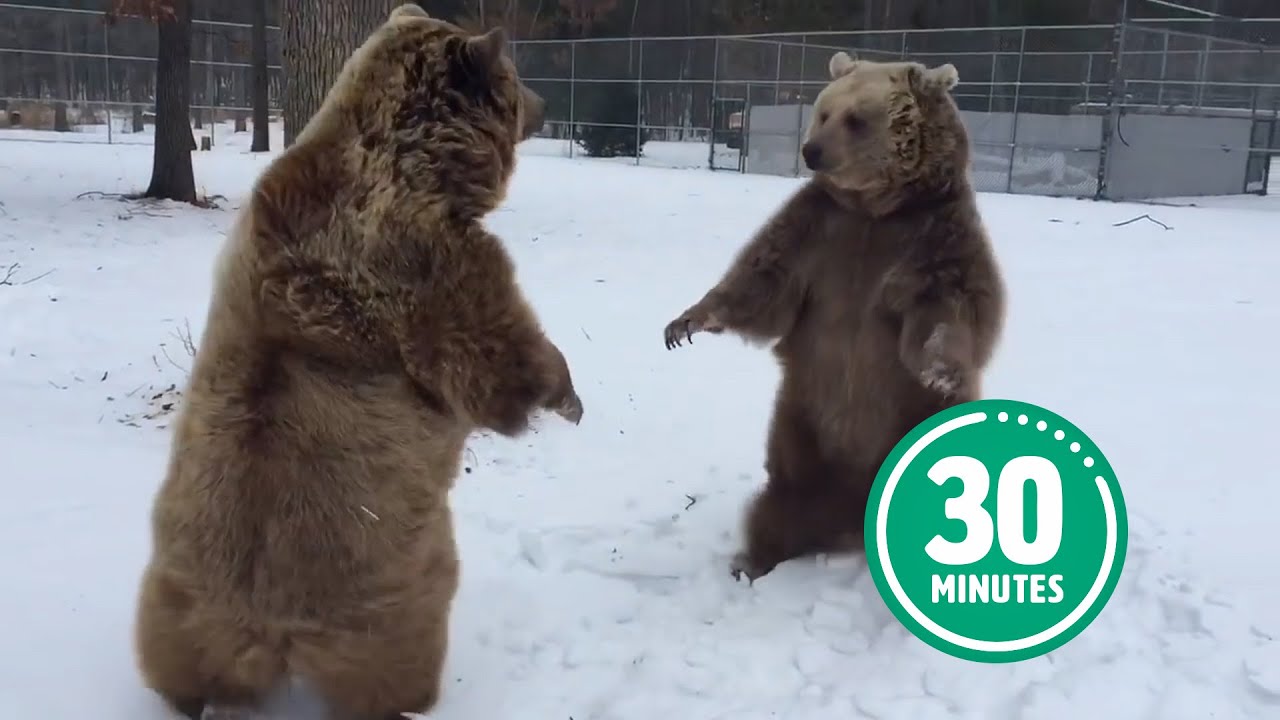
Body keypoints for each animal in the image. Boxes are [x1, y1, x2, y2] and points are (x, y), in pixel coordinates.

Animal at [132, 5, 581, 720]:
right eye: (515, 76)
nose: (544, 104)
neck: (422, 162)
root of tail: (264, 631)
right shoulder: (428, 262)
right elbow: (494, 351)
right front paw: (563, 392)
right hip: (391, 604)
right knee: (398, 663)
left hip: (176, 605)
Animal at [662, 51, 1006, 583]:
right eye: (824, 112)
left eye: (856, 119)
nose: (812, 151)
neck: (875, 208)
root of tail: (855, 511)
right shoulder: (817, 232)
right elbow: (760, 282)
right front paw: (685, 324)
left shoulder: (935, 239)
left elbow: (950, 311)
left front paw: (943, 370)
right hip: (800, 429)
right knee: (783, 502)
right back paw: (754, 559)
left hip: (912, 423)